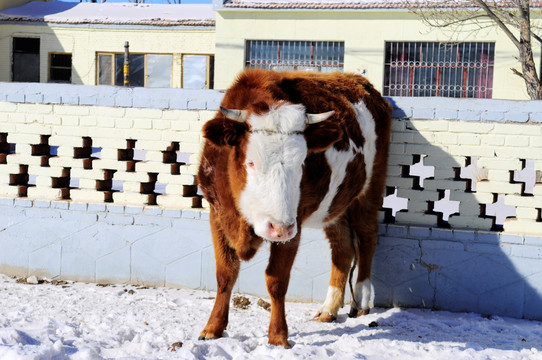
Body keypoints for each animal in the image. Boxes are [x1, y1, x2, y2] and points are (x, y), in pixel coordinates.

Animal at [198, 69, 394, 348]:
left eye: (302, 162)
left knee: (367, 237)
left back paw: (363, 297)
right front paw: (213, 327)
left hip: (369, 190)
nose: (278, 227)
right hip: (333, 206)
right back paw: (329, 309)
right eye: (251, 162)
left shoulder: (294, 225)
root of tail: (362, 84)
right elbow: (225, 273)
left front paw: (279, 336)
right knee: (343, 248)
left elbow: (276, 280)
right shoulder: (217, 213)